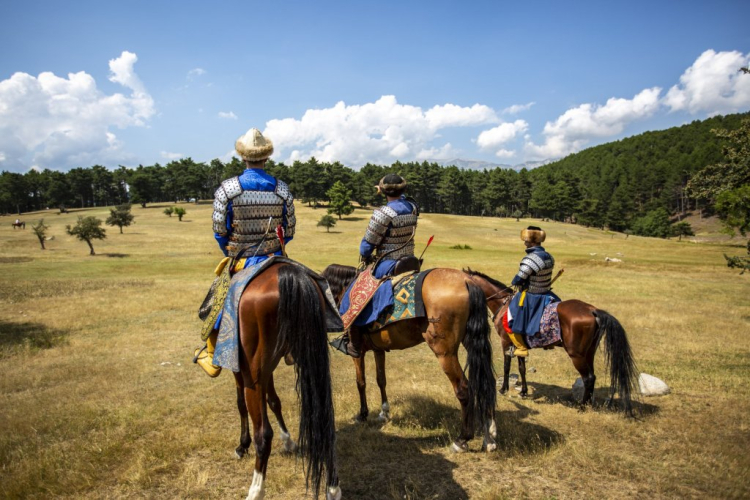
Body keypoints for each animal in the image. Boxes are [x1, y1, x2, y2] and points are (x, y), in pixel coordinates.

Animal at [229, 262, 340, 500]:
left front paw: (242, 446)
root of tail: (290, 276)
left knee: (263, 435)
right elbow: (274, 401)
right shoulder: (267, 370)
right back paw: (333, 487)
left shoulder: (240, 369)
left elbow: (241, 404)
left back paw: (256, 490)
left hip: (253, 375)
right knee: (325, 422)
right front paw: (288, 440)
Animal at [322, 266, 500, 454]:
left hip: (445, 353)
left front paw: (363, 414)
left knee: (464, 388)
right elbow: (381, 379)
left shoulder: (358, 353)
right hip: (472, 341)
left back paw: (462, 440)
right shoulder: (379, 349)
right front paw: (384, 412)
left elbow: (360, 382)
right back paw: (489, 437)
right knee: (484, 382)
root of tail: (466, 280)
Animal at [464, 268, 640, 416]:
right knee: (592, 377)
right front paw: (523, 391)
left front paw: (503, 389)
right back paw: (589, 403)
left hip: (576, 355)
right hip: (589, 352)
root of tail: (592, 310)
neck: (502, 304)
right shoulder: (519, 345)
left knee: (588, 378)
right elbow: (522, 368)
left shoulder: (505, 342)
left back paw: (582, 407)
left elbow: (507, 366)